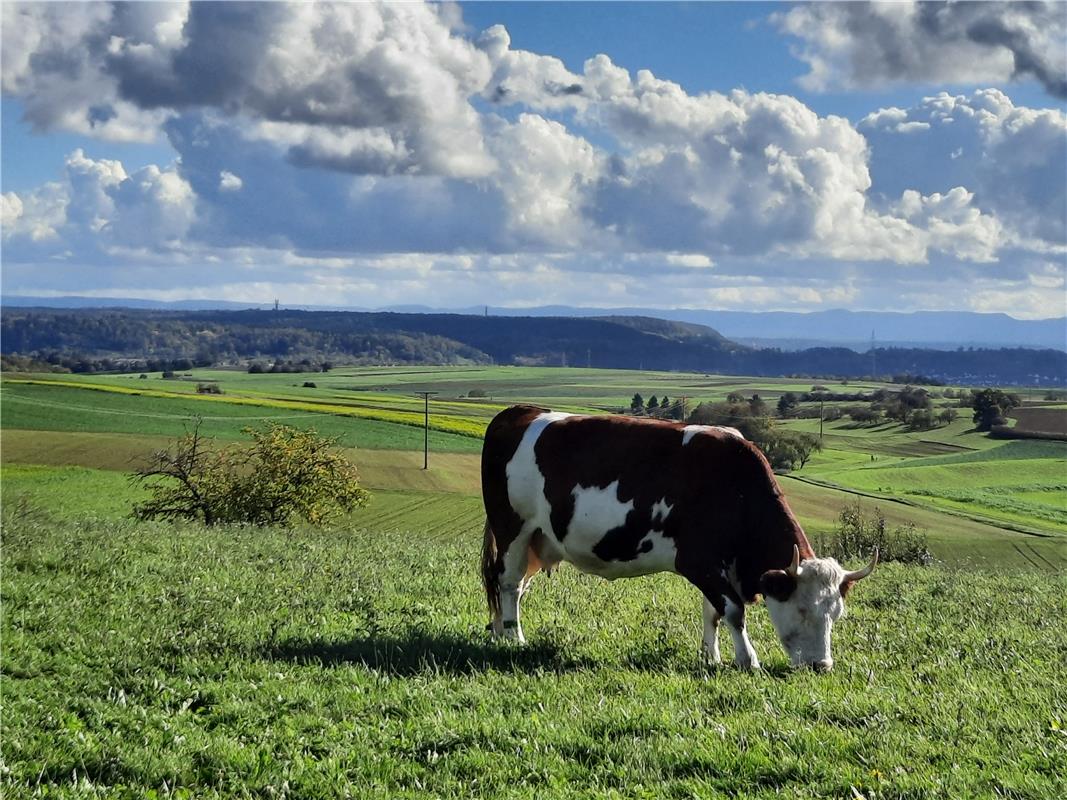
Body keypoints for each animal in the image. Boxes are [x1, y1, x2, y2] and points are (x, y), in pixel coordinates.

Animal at [482, 403, 874, 674]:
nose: (822, 666)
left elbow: (713, 612)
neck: (733, 485)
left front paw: (711, 656)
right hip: (513, 528)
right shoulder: (697, 560)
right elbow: (734, 610)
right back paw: (515, 638)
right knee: (508, 583)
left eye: (836, 613)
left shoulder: (721, 565)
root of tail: (521, 411)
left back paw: (501, 631)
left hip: (540, 540)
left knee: (515, 586)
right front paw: (748, 660)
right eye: (803, 609)